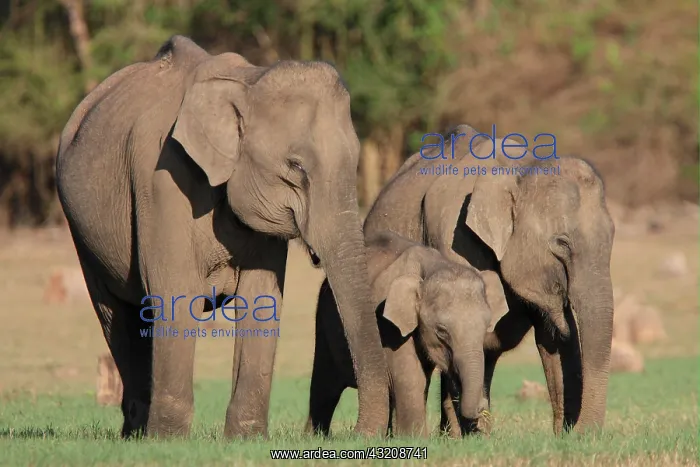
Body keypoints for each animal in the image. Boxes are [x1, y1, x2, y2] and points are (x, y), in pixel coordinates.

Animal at [55, 35, 390, 439]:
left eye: (355, 161)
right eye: (295, 166)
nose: (351, 434)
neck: (247, 82)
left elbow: (262, 298)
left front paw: (246, 438)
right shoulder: (162, 181)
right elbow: (175, 292)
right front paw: (168, 440)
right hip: (81, 231)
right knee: (115, 313)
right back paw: (137, 432)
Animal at [306, 230, 492, 438]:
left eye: (487, 327)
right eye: (441, 331)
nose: (482, 407)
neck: (432, 266)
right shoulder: (388, 324)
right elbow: (411, 376)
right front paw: (414, 438)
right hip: (323, 324)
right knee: (325, 387)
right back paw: (314, 437)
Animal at [363, 124, 615, 436]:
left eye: (612, 237)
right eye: (562, 243)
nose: (582, 431)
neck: (521, 169)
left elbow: (551, 339)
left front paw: (564, 437)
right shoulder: (455, 236)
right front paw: (472, 435)